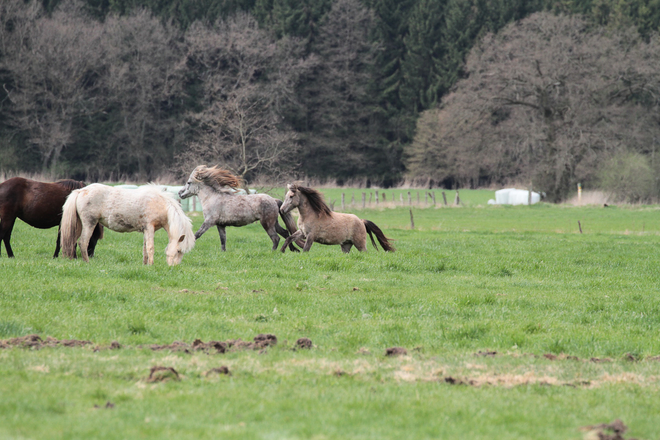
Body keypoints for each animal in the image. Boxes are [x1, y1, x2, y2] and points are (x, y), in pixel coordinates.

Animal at [60, 182, 195, 264]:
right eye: (179, 251)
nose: (173, 267)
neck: (161, 204)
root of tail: (82, 190)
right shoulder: (149, 228)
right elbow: (150, 247)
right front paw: (151, 265)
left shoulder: (146, 230)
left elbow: (145, 249)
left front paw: (145, 265)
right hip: (89, 223)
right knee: (83, 242)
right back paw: (87, 262)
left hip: (79, 224)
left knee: (73, 241)